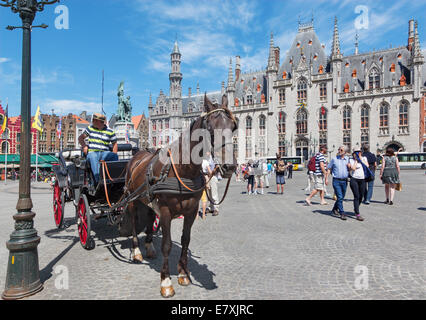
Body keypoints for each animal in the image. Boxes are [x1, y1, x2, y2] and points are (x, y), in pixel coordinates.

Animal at [121, 94, 238, 298]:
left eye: (233, 126)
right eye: (210, 128)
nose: (230, 166)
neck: (184, 170)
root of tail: (137, 155)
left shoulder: (191, 211)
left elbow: (185, 240)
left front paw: (183, 274)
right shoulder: (166, 211)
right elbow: (167, 244)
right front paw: (166, 282)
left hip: (148, 200)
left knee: (149, 217)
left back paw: (149, 248)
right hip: (132, 200)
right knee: (135, 223)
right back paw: (137, 253)